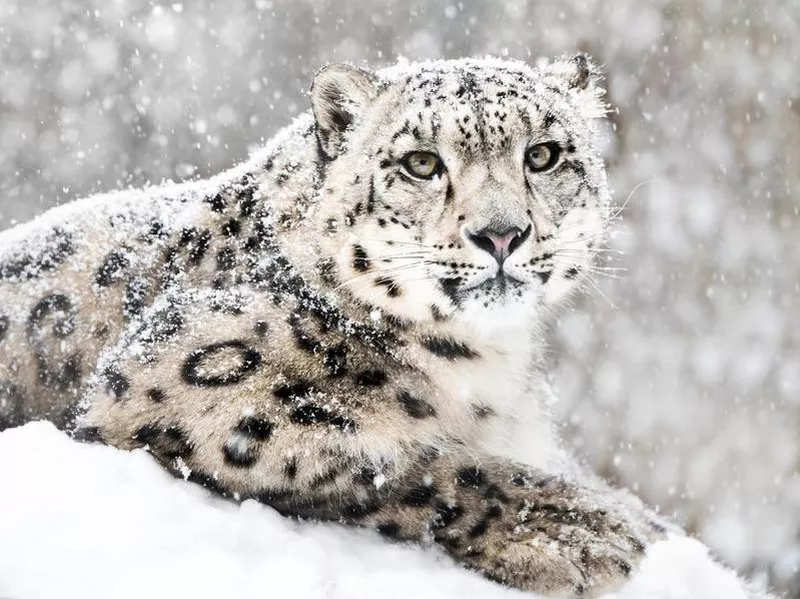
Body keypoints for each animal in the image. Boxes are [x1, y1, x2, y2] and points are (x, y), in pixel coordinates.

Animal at [0, 55, 664, 596]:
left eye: (543, 155)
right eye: (422, 162)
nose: (501, 234)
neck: (483, 362)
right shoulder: (175, 382)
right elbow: (396, 462)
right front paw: (577, 529)